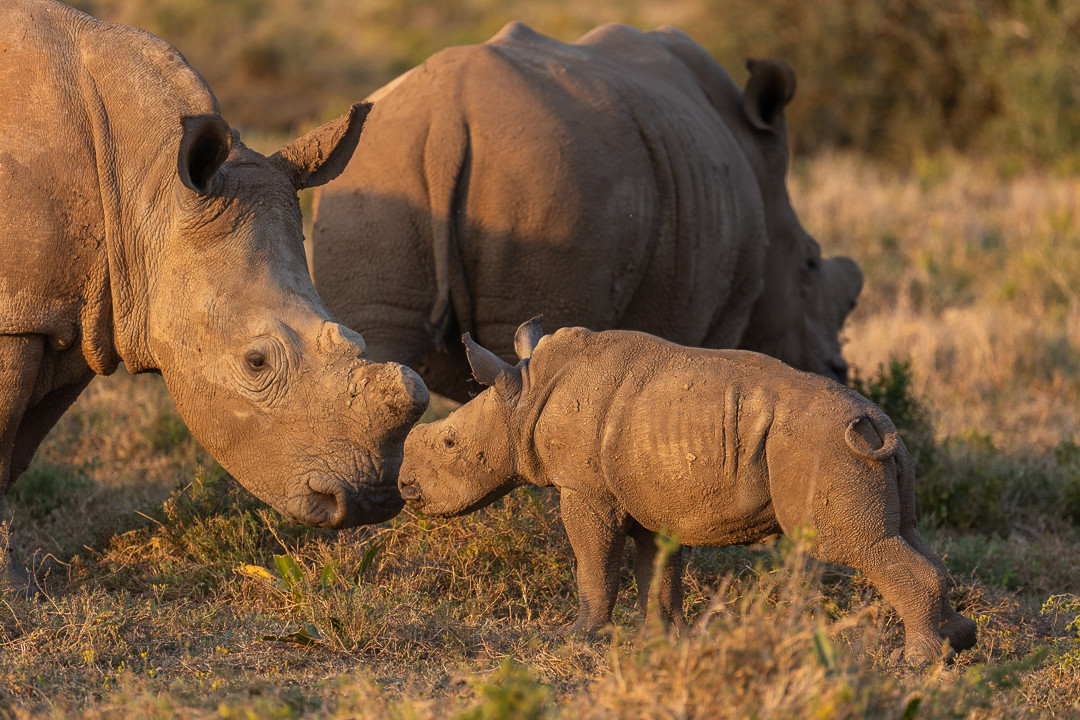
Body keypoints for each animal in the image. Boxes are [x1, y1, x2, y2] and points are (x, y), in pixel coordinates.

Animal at [0, 0, 429, 584]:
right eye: (255, 363)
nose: (371, 500)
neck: (145, 189)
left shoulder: (71, 309)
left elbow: (16, 447)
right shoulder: (19, 316)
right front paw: (13, 589)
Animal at [311, 22, 864, 401]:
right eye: (810, 264)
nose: (839, 371)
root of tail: (447, 115)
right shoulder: (725, 308)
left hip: (380, 163)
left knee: (382, 343)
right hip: (547, 176)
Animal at [398, 317, 978, 664]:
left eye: (449, 443)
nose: (405, 489)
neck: (524, 396)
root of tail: (878, 422)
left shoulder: (585, 490)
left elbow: (593, 564)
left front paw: (579, 636)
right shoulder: (645, 493)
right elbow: (657, 570)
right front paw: (664, 638)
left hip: (825, 447)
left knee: (857, 545)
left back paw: (917, 662)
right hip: (870, 450)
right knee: (907, 532)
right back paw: (958, 644)